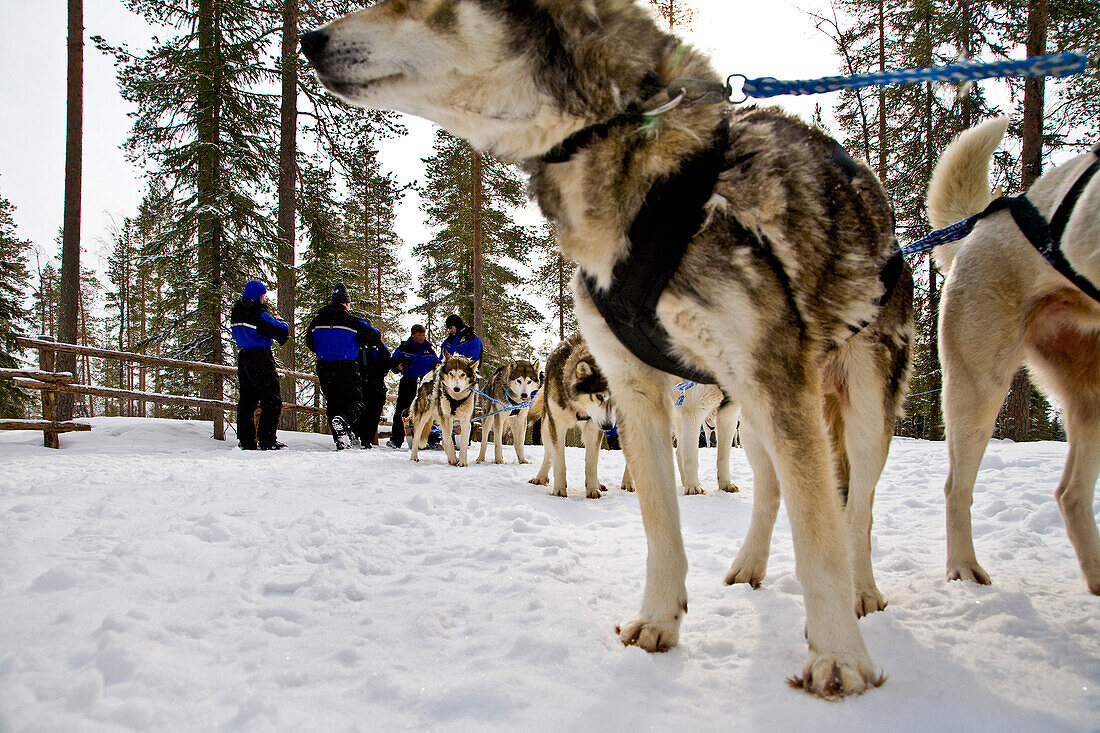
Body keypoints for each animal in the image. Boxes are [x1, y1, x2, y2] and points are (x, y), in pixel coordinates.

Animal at [525, 332, 616, 497]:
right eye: (599, 396)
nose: (607, 426)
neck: (578, 407)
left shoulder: (593, 428)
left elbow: (591, 463)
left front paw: (593, 489)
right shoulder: (557, 426)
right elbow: (559, 461)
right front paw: (559, 490)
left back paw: (599, 484)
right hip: (546, 426)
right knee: (548, 454)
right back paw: (541, 477)